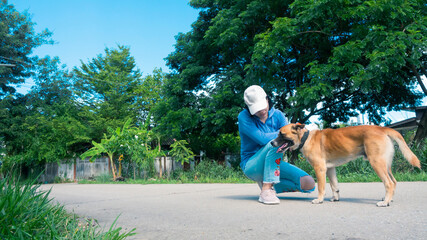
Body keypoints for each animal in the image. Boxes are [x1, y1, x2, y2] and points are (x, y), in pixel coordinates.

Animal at [272, 124, 422, 206]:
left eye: (281, 134)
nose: (271, 143)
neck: (305, 138)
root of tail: (382, 129)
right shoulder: (330, 169)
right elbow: (334, 186)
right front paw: (335, 198)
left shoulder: (320, 169)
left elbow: (321, 187)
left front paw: (319, 200)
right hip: (386, 165)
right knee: (394, 182)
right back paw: (388, 199)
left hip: (377, 163)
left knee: (389, 183)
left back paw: (385, 202)